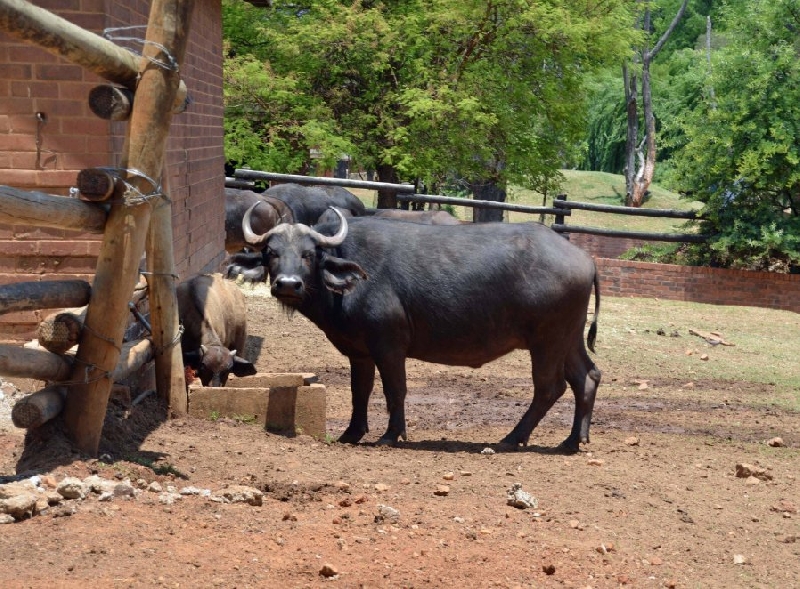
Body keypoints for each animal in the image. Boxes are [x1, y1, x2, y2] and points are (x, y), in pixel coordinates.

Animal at [244, 207, 600, 450]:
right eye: (271, 253)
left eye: (308, 254)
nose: (288, 284)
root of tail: (586, 259)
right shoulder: (359, 352)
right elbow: (360, 391)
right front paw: (351, 433)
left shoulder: (389, 345)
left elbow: (395, 390)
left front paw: (391, 435)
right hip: (569, 339)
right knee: (587, 377)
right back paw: (573, 440)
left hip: (547, 341)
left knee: (550, 387)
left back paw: (512, 438)